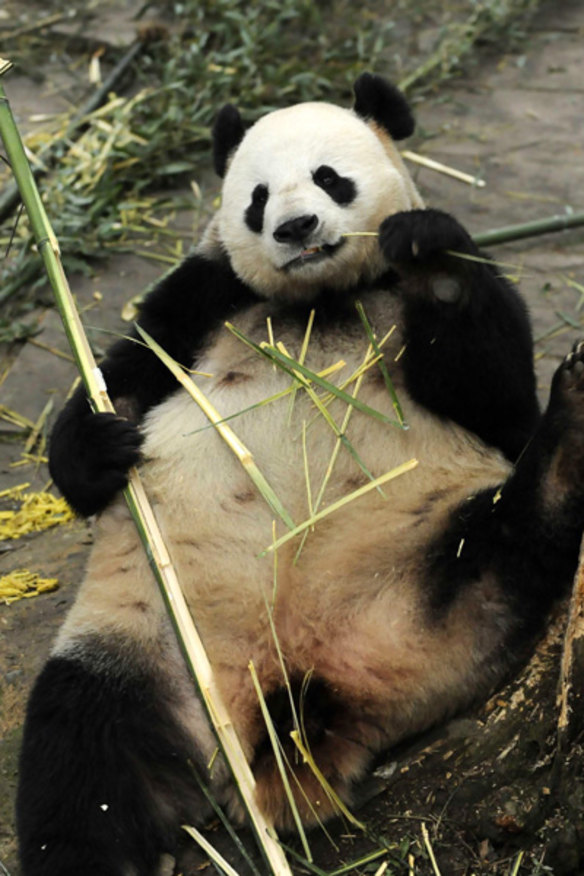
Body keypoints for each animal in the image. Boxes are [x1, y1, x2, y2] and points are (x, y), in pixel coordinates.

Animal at [16, 73, 584, 876]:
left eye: (329, 177)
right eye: (256, 197)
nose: (295, 228)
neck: (322, 303)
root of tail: (295, 700)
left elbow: (499, 396)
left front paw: (437, 271)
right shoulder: (206, 293)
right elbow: (125, 374)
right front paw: (99, 443)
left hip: (430, 579)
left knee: (509, 549)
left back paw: (568, 441)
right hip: (149, 643)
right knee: (83, 759)